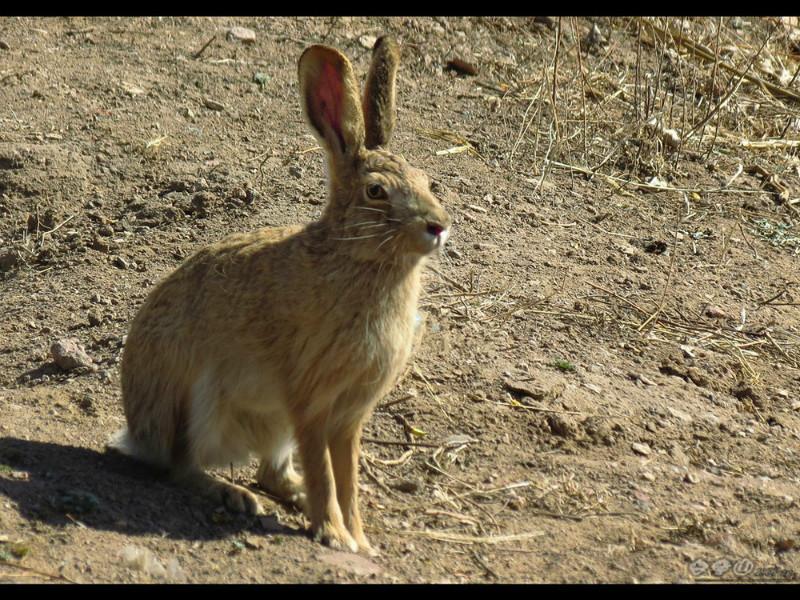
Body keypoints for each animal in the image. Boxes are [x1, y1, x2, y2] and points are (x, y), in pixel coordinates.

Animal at [109, 36, 454, 552]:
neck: (360, 259)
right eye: (375, 192)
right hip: (196, 402)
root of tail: (137, 430)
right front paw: (336, 537)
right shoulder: (309, 400)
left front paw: (360, 539)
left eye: (428, 181)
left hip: (272, 426)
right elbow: (325, 472)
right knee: (180, 467)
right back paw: (234, 495)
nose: (438, 225)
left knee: (270, 473)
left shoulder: (349, 416)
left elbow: (347, 480)